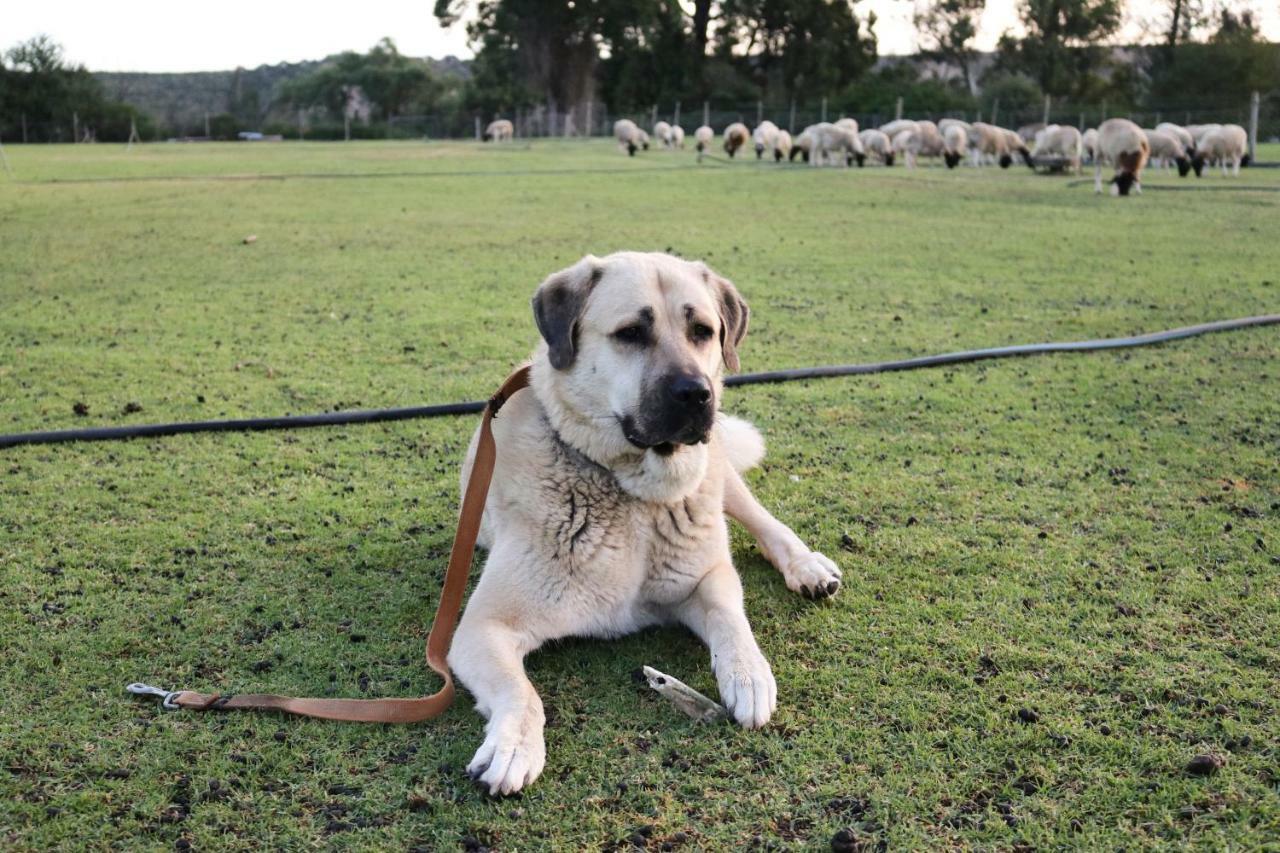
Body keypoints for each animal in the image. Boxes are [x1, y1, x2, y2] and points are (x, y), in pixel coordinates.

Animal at [445, 251, 844, 788]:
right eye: (631, 332)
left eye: (702, 331)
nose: (696, 394)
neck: (633, 495)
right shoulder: (484, 628)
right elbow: (521, 693)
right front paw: (514, 744)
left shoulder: (707, 577)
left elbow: (730, 619)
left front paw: (748, 673)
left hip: (719, 471)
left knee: (765, 522)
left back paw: (806, 566)